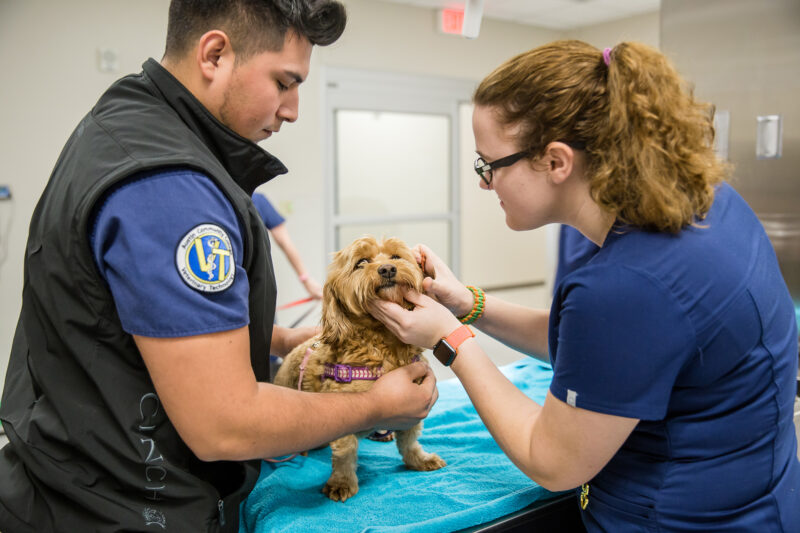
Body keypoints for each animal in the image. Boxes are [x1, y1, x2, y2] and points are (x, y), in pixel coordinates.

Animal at [274, 235, 444, 500]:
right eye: (361, 262)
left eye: (396, 256)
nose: (387, 269)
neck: (383, 343)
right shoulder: (343, 409)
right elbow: (346, 450)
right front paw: (342, 482)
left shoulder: (414, 408)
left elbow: (409, 441)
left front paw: (419, 460)